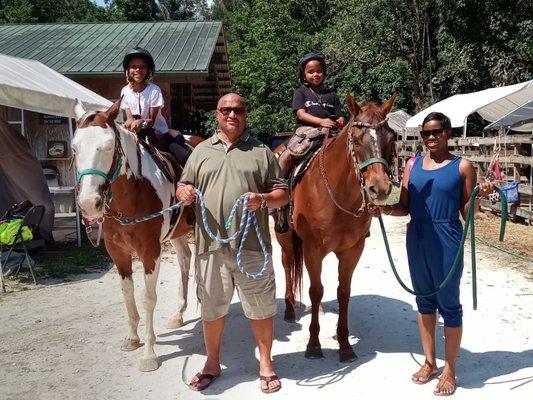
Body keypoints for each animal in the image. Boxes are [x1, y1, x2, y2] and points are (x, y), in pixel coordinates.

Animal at [71, 101, 194, 372]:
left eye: (108, 146)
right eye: (74, 148)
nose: (89, 203)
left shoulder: (150, 251)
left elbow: (148, 297)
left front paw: (149, 354)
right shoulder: (117, 252)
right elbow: (127, 291)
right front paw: (132, 338)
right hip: (177, 233)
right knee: (185, 260)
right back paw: (178, 314)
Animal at [278, 94, 394, 362]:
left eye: (391, 138)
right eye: (357, 139)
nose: (380, 188)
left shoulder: (352, 250)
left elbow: (342, 292)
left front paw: (344, 344)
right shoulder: (312, 248)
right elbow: (315, 290)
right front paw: (313, 344)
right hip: (286, 237)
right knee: (288, 264)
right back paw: (289, 310)